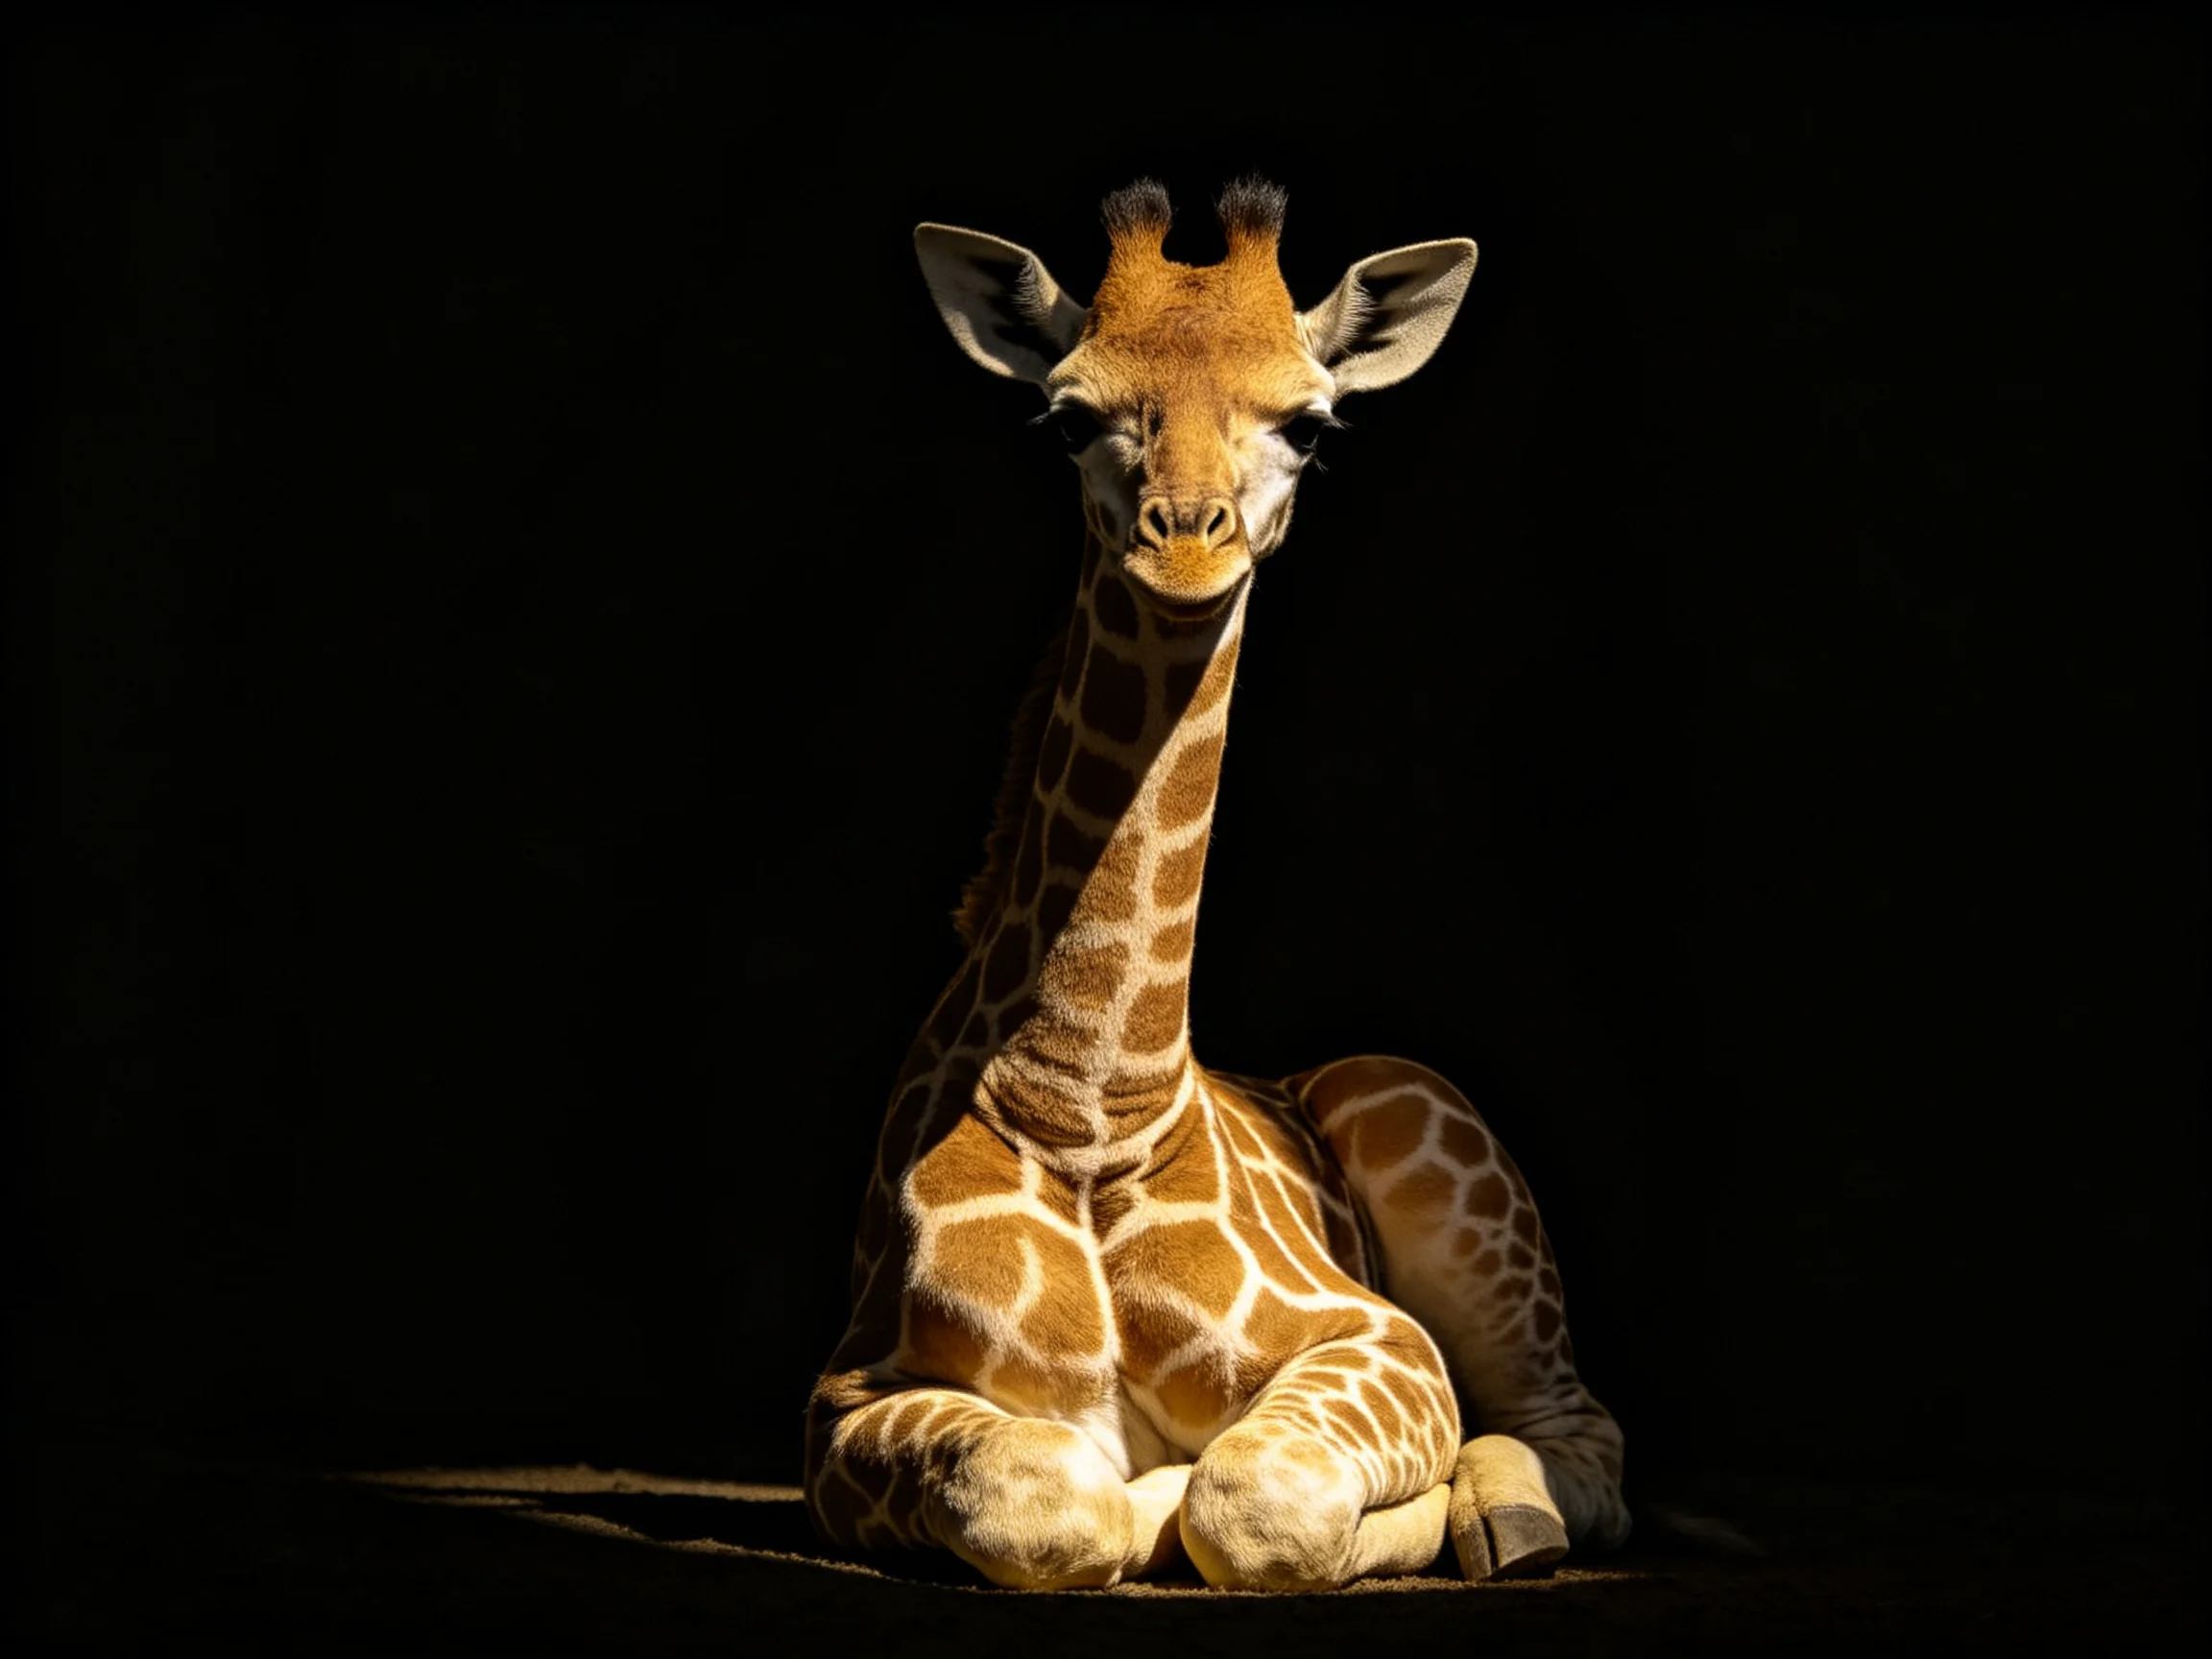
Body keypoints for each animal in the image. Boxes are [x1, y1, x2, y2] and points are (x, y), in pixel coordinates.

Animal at [803, 179, 1629, 1592]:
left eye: (1311, 423)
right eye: (1071, 415)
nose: (1189, 548)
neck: (1098, 1104)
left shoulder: (1377, 1337)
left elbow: (1250, 1502)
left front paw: (1280, 1513)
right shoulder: (848, 1394)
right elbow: (1052, 1490)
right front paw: (1139, 1500)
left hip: (1435, 1149)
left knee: (1579, 1437)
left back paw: (1499, 1522)